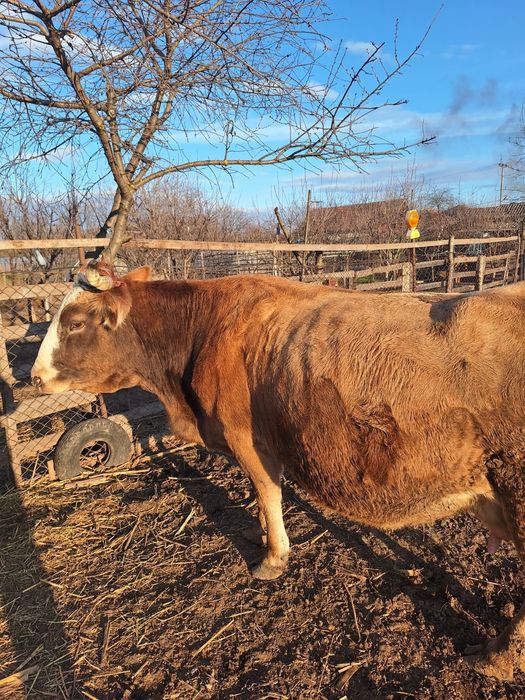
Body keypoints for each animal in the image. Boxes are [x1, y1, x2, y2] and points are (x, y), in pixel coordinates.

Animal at [31, 260, 525, 680]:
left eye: (75, 322)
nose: (32, 377)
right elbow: (260, 496)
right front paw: (260, 532)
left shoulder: (247, 439)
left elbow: (268, 492)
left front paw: (273, 555)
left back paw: (496, 658)